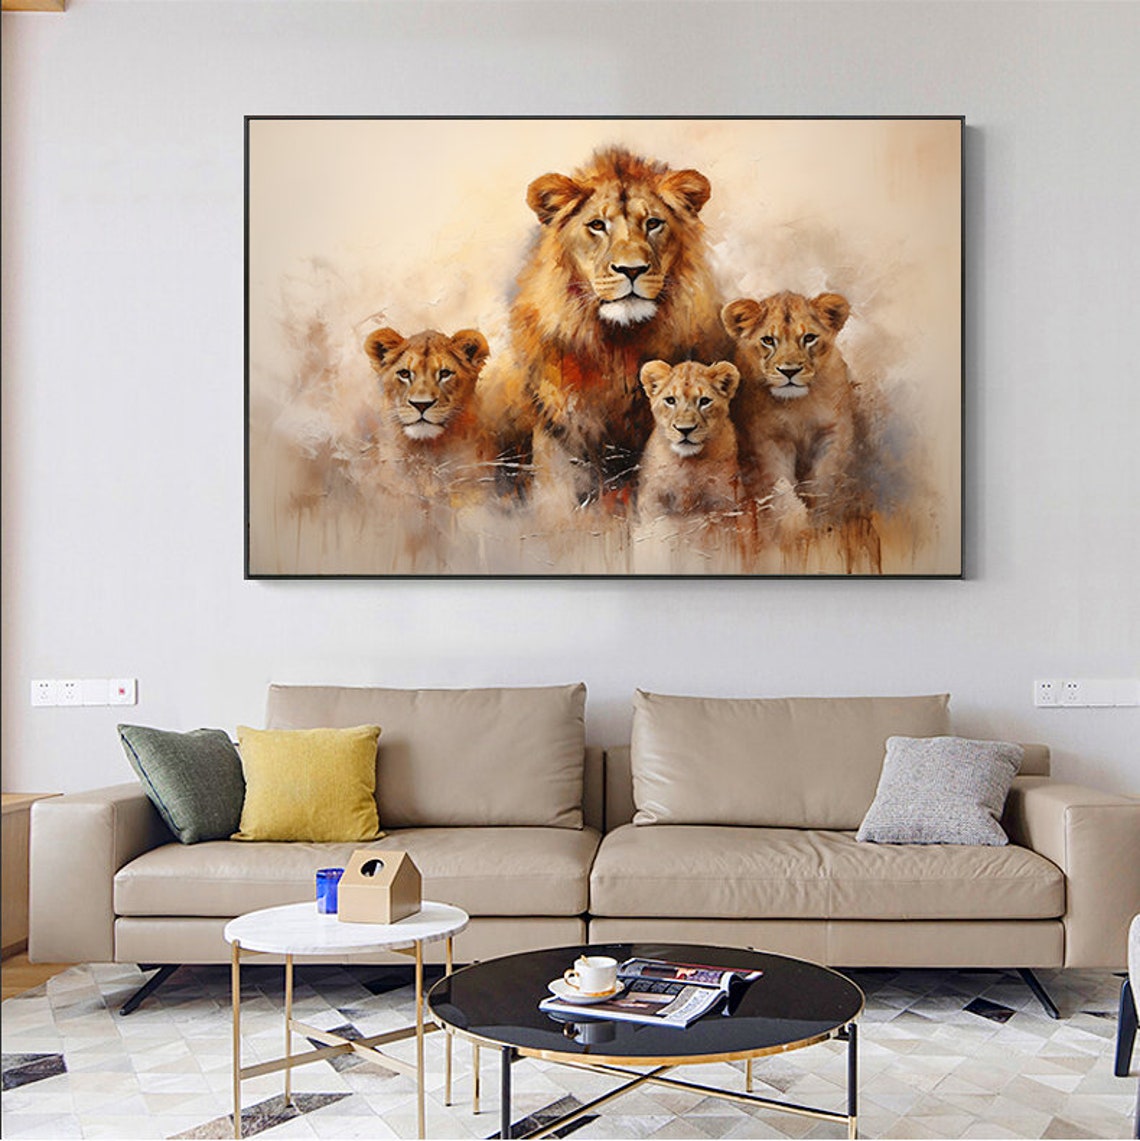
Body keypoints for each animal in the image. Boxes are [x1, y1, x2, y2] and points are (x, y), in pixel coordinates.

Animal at [637, 360, 742, 518]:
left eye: (704, 401)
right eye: (670, 400)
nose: (685, 429)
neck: (689, 462)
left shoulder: (726, 496)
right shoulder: (651, 497)